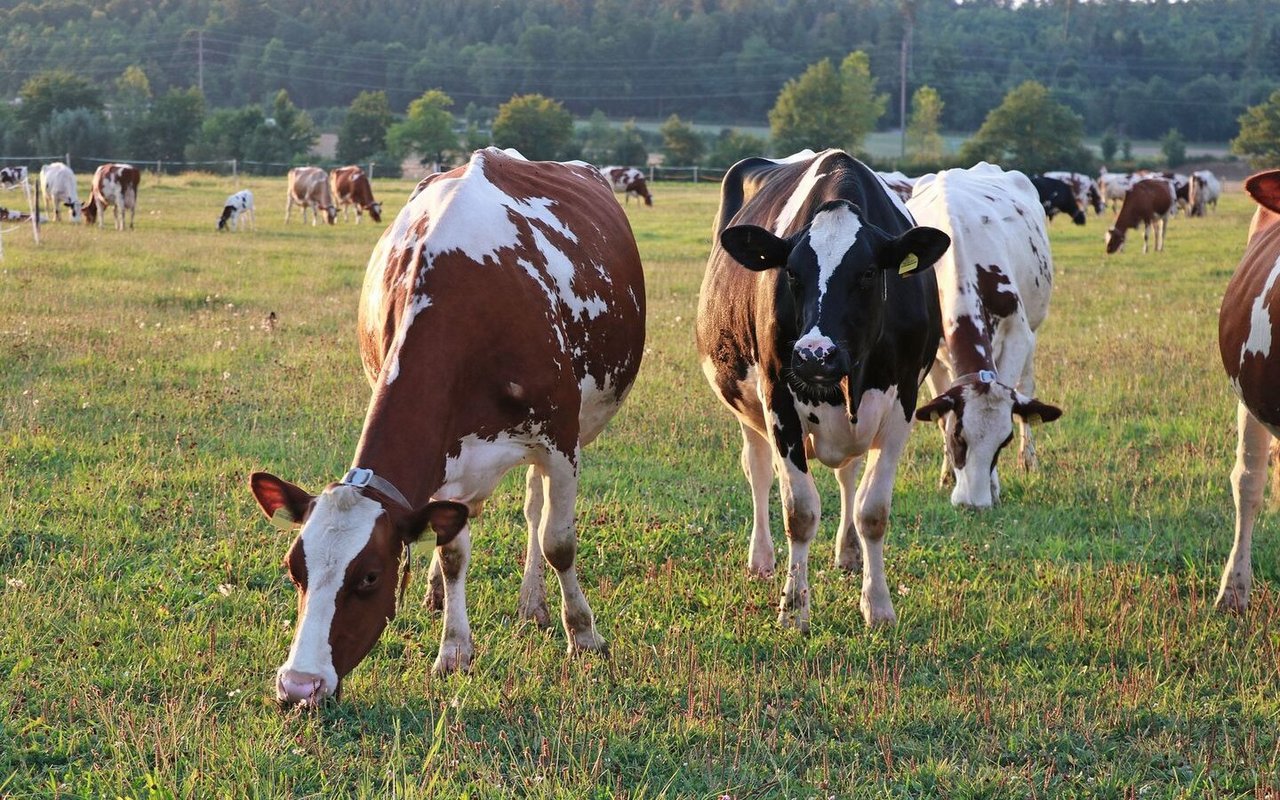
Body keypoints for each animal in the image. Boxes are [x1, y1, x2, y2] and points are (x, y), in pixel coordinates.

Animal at [247, 148, 650, 696]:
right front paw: (454, 649)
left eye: (369, 577)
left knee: (534, 512)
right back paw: (444, 593)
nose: (298, 686)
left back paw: (533, 604)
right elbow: (453, 550)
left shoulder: (561, 441)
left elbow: (558, 542)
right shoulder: (447, 455)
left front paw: (584, 635)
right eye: (295, 571)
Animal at [696, 146, 957, 627]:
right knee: (758, 470)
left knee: (847, 475)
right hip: (745, 403)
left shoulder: (903, 402)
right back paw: (761, 558)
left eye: (869, 273)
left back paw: (849, 553)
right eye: (791, 273)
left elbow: (873, 510)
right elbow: (799, 511)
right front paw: (794, 608)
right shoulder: (778, 397)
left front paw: (878, 605)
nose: (815, 354)